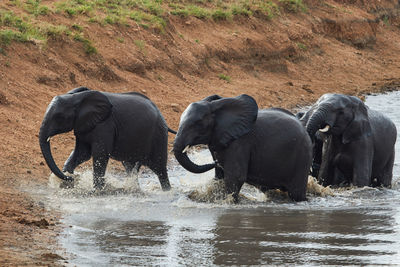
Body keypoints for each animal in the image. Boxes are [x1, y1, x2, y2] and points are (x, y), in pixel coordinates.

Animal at [38, 87, 173, 192]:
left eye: (59, 117)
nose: (72, 177)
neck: (77, 98)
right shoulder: (83, 125)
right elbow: (82, 153)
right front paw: (66, 181)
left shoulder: (105, 124)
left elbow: (100, 154)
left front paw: (97, 191)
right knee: (130, 167)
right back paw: (134, 189)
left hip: (159, 136)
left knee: (159, 169)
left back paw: (167, 191)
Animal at [173, 95, 314, 202]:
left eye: (197, 123)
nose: (215, 162)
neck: (217, 108)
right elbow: (219, 176)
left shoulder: (240, 143)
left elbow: (236, 177)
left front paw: (229, 202)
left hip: (302, 156)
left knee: (296, 193)